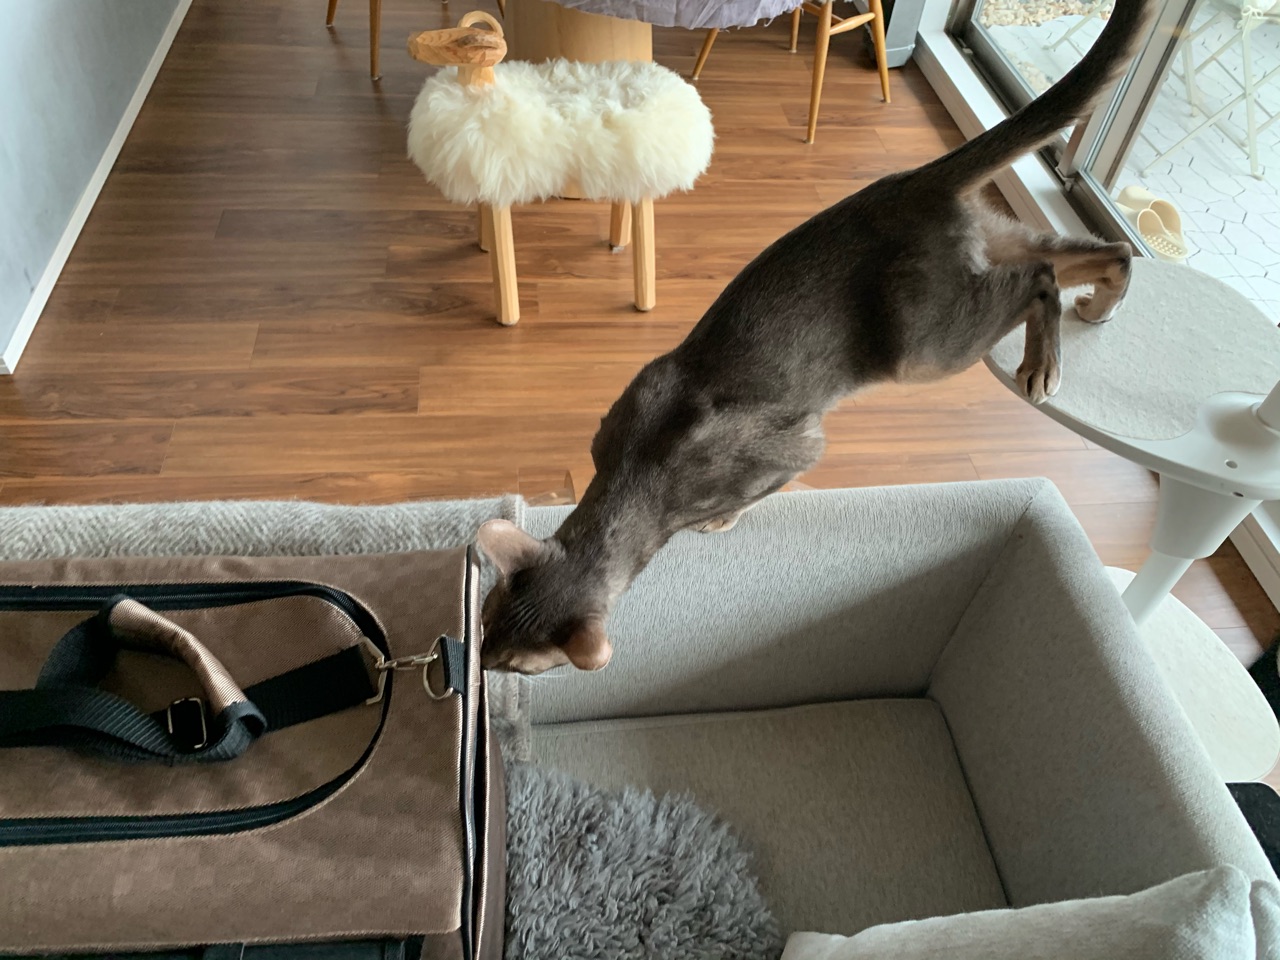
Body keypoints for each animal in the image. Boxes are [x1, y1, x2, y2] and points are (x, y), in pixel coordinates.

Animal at [477, 0, 1153, 674]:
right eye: (486, 617)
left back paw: (1044, 361)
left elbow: (762, 490)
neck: (633, 480)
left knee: (1040, 278)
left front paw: (723, 520)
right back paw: (1106, 297)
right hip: (983, 254)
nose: (479, 663)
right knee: (1086, 251)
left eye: (519, 665)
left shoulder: (798, 450)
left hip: (927, 348)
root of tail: (918, 180)